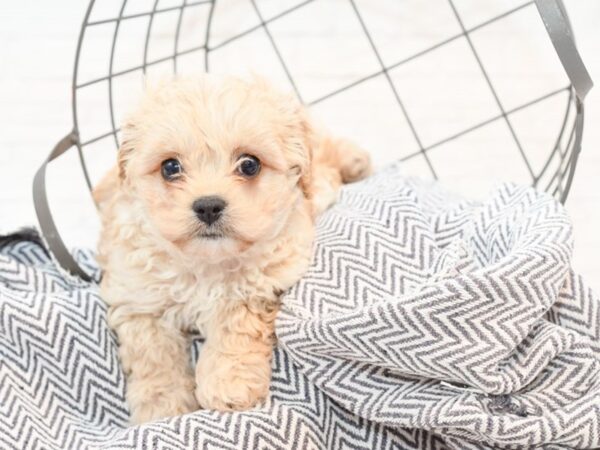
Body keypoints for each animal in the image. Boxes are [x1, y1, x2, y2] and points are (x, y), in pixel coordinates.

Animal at [94, 75, 370, 424]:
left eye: (249, 165)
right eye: (170, 167)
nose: (208, 206)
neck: (204, 264)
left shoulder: (262, 280)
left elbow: (236, 324)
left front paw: (228, 383)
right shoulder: (138, 299)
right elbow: (154, 355)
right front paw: (162, 406)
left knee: (328, 149)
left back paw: (357, 162)